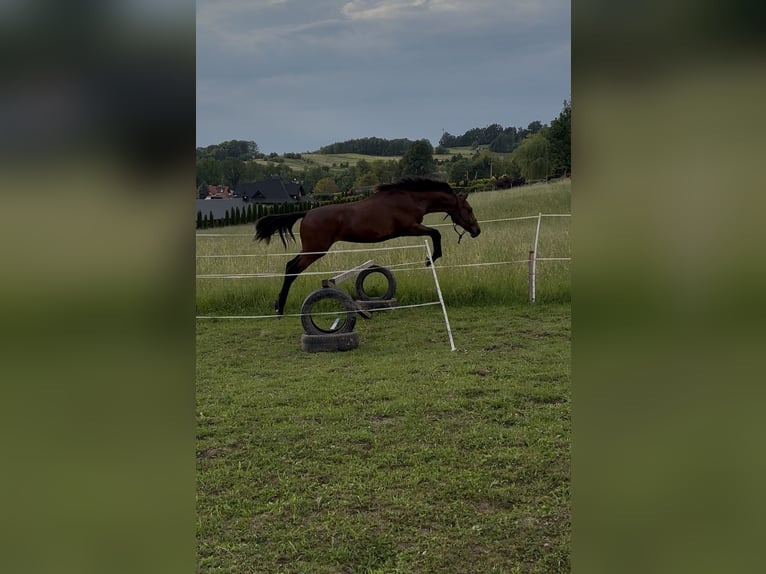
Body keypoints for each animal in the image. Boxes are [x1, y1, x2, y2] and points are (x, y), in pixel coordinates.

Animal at [254, 177, 481, 315]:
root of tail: (307, 213)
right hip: (315, 250)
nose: (477, 231)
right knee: (292, 268)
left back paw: (278, 306)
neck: (409, 198)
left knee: (290, 265)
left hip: (311, 250)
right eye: (469, 209)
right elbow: (436, 233)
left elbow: (435, 233)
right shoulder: (410, 228)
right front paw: (430, 259)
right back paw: (280, 308)